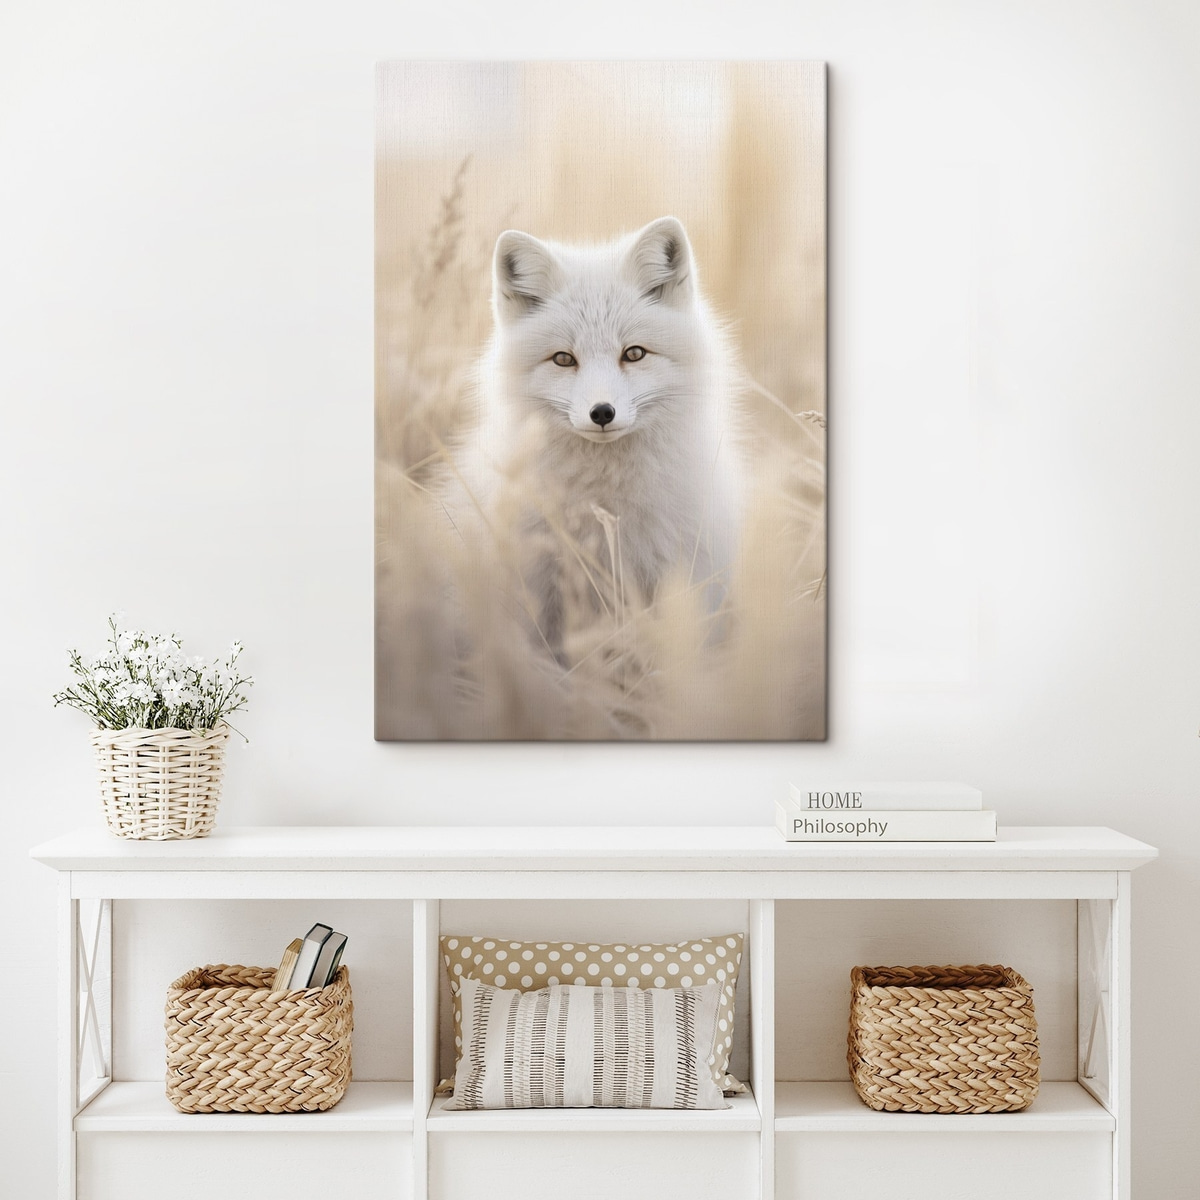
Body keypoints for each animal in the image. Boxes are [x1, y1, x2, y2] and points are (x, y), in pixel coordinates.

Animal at [454, 216, 744, 657]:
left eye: (634, 353)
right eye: (563, 359)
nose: (602, 413)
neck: (606, 504)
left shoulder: (682, 576)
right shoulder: (539, 587)